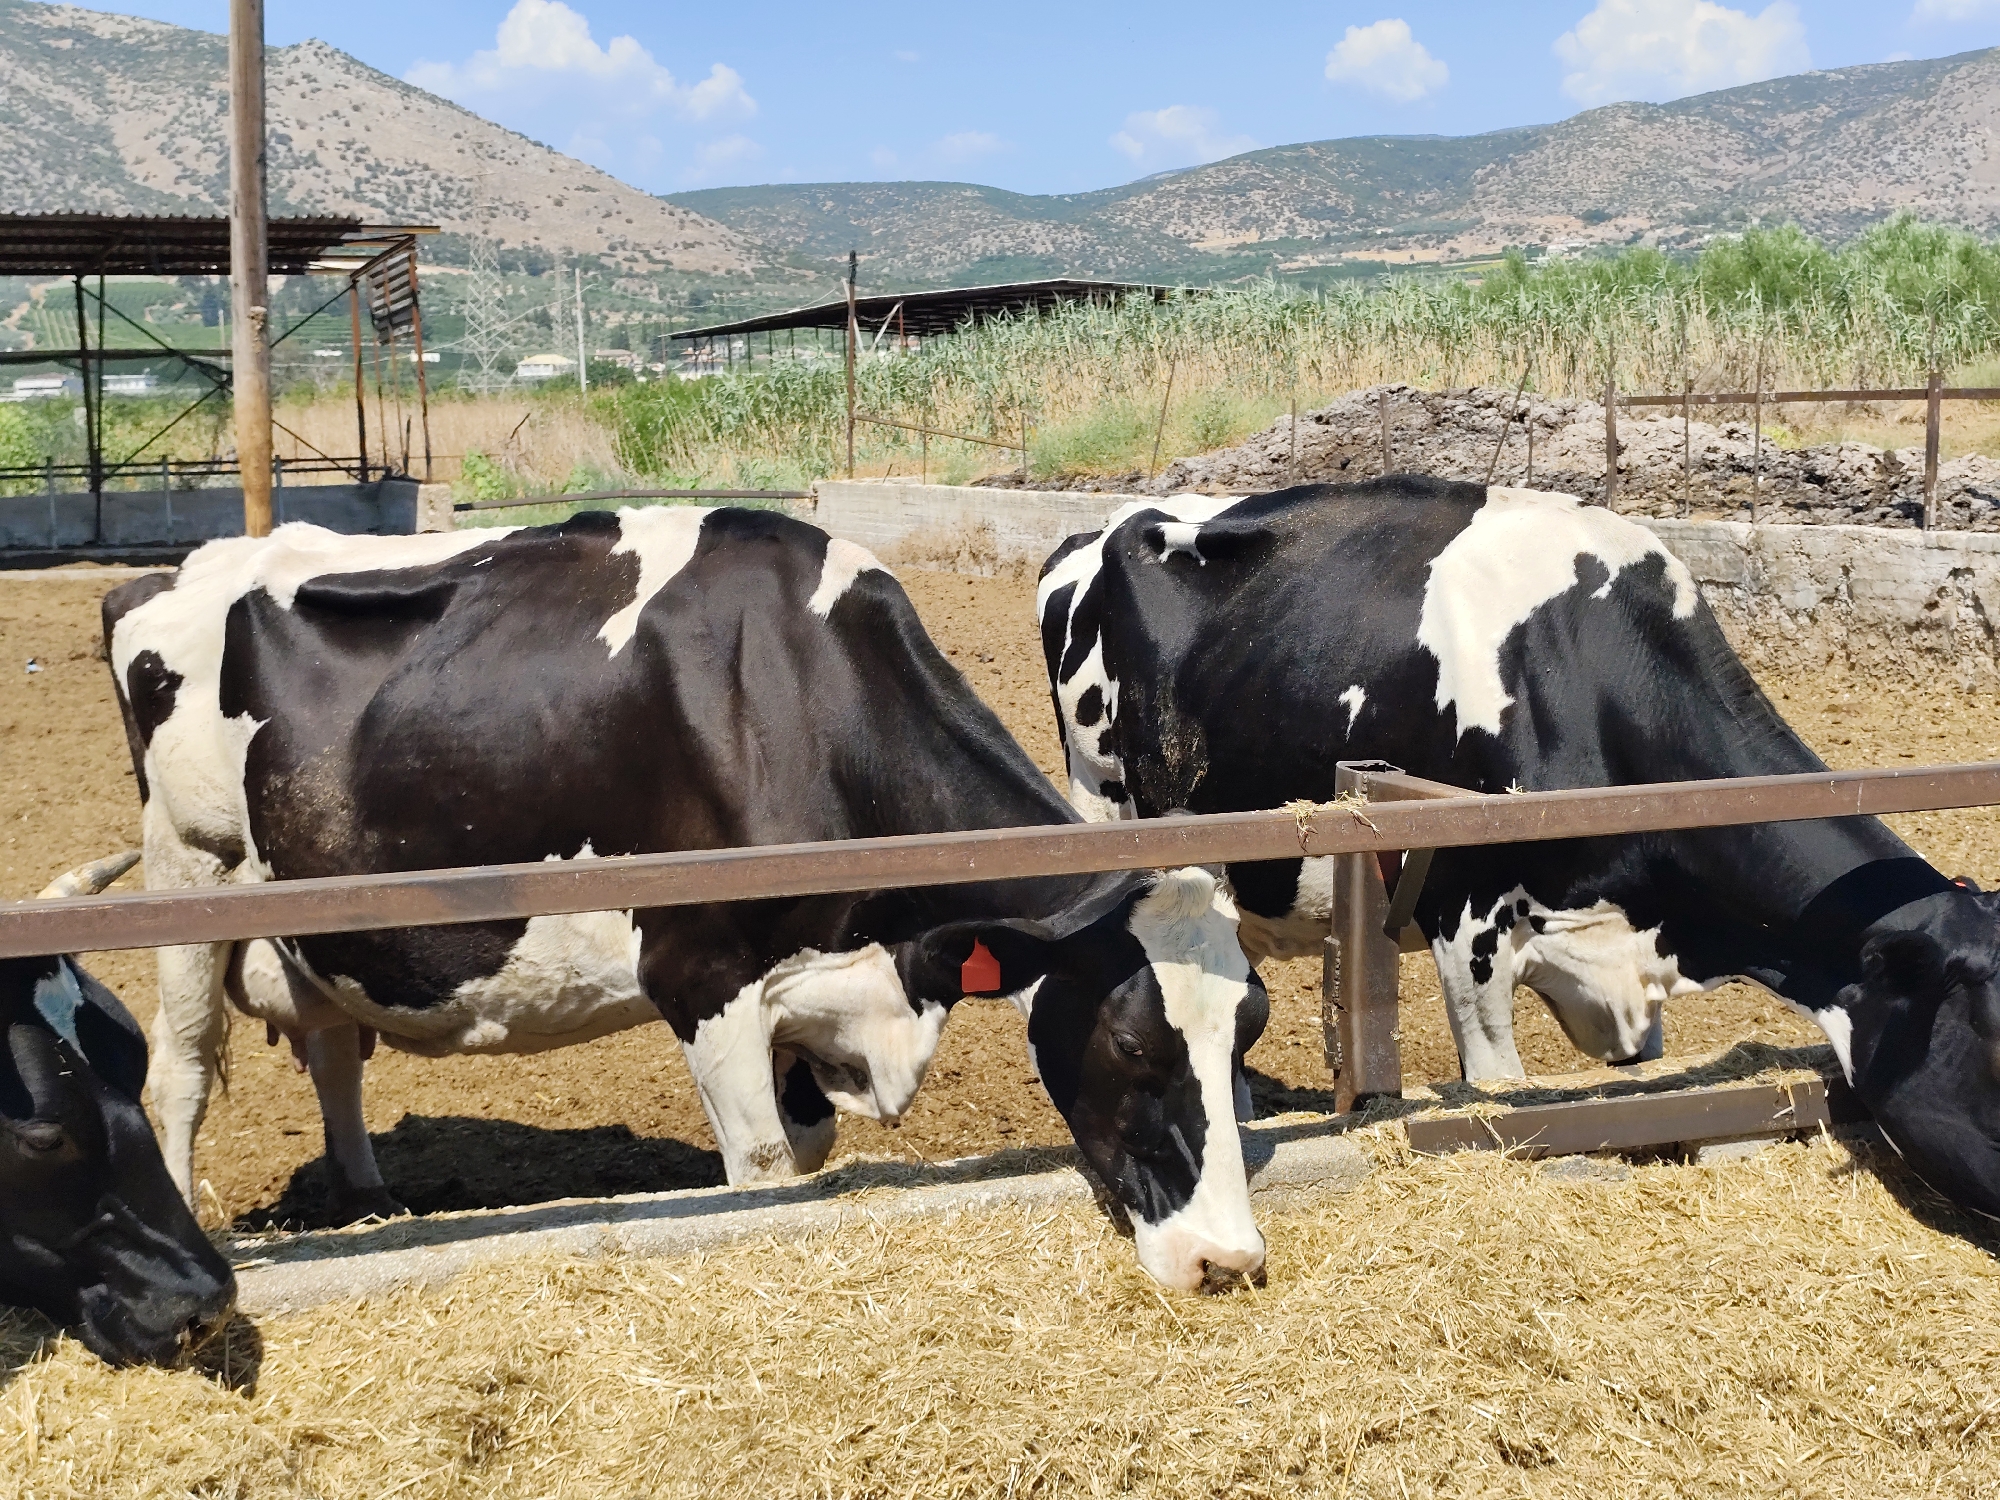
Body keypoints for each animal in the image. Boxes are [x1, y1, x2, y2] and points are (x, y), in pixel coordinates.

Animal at [104, 508, 1269, 1291]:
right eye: (1133, 1045)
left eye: (1245, 1036)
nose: (1228, 1261)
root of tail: (165, 575)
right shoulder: (701, 974)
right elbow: (763, 1168)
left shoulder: (812, 988)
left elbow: (804, 1148)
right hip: (189, 869)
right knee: (181, 1071)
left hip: (315, 910)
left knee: (336, 1047)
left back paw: (368, 1197)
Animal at [1039, 477, 2000, 1222]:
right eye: (1992, 1036)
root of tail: (1099, 529)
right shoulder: (1462, 917)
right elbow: (1497, 1088)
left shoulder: (1622, 974)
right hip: (1106, 804)